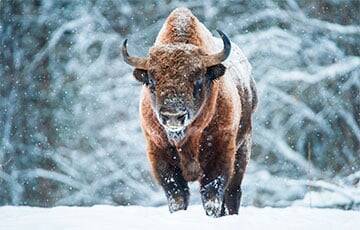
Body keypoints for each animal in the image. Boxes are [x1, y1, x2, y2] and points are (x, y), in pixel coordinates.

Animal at [122, 6, 258, 217]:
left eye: (198, 80)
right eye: (151, 81)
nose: (173, 116)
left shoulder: (220, 154)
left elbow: (211, 195)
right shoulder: (159, 154)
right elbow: (177, 195)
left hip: (243, 150)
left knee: (233, 193)